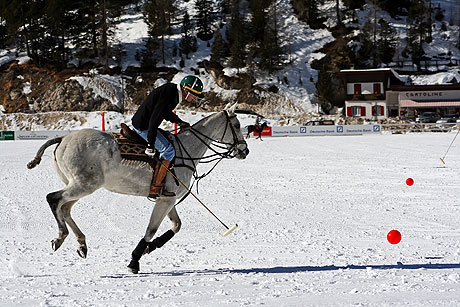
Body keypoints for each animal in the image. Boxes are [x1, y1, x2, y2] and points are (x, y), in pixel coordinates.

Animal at [27, 103, 250, 274]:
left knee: (65, 208)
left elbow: (176, 225)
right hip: (84, 184)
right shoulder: (166, 200)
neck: (186, 150)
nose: (245, 151)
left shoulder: (167, 198)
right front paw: (135, 260)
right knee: (53, 199)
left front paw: (149, 248)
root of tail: (63, 139)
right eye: (237, 125)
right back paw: (60, 237)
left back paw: (82, 244)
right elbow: (151, 229)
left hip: (79, 184)